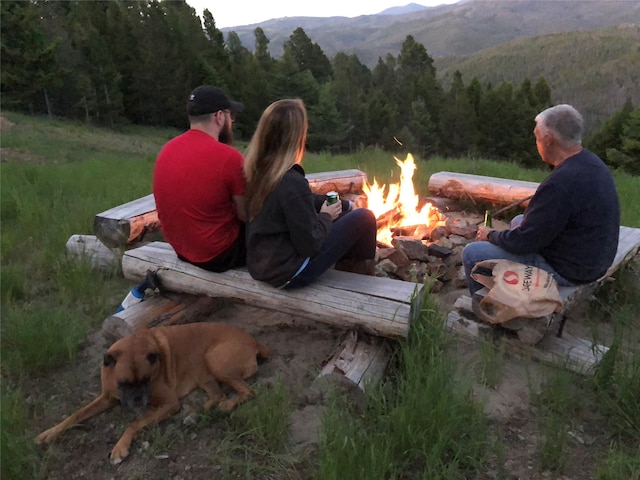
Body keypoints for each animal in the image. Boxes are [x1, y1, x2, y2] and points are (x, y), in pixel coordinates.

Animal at [35, 324, 270, 464]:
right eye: (125, 383)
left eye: (146, 380)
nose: (139, 400)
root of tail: (254, 341)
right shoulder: (107, 397)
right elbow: (76, 415)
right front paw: (50, 433)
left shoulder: (169, 404)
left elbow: (134, 424)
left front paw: (120, 448)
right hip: (206, 373)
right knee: (217, 395)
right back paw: (197, 413)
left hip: (214, 360)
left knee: (248, 392)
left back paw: (227, 406)